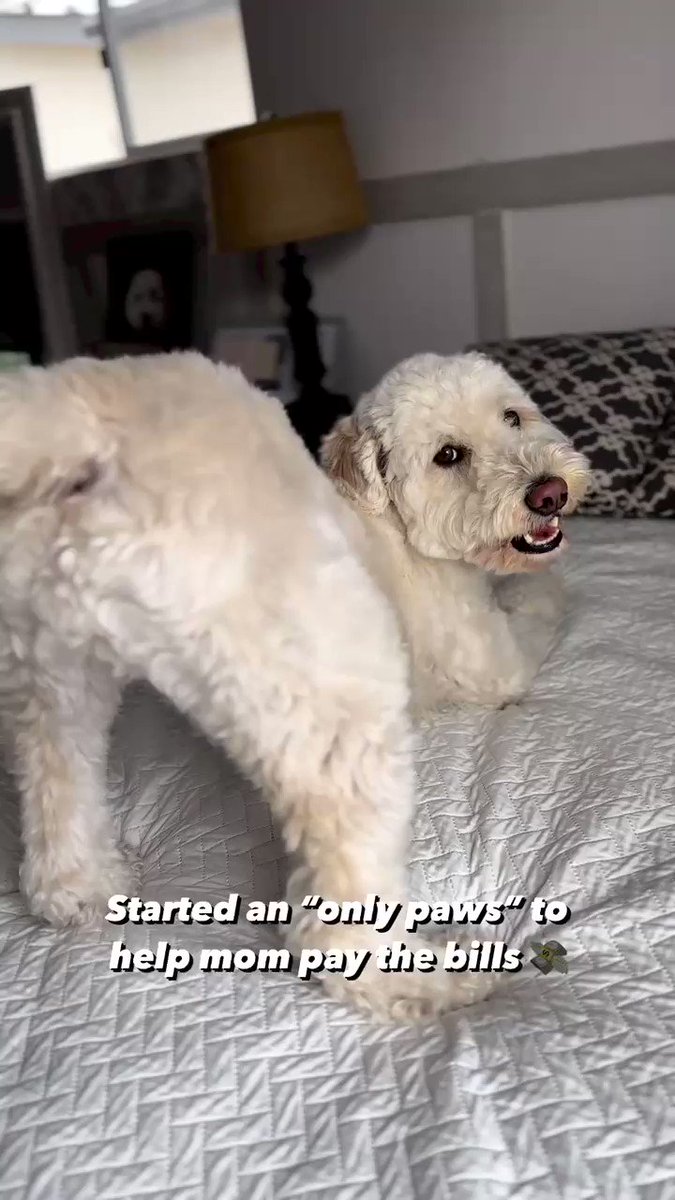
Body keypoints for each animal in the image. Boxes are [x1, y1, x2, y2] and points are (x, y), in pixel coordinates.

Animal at [0, 350, 586, 1022]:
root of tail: (84, 430)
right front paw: (555, 585)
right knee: (336, 932)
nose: (550, 492)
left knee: (55, 783)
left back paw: (81, 887)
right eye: (448, 456)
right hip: (335, 700)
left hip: (52, 676)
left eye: (512, 416)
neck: (389, 523)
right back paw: (433, 983)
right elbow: (540, 602)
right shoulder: (491, 658)